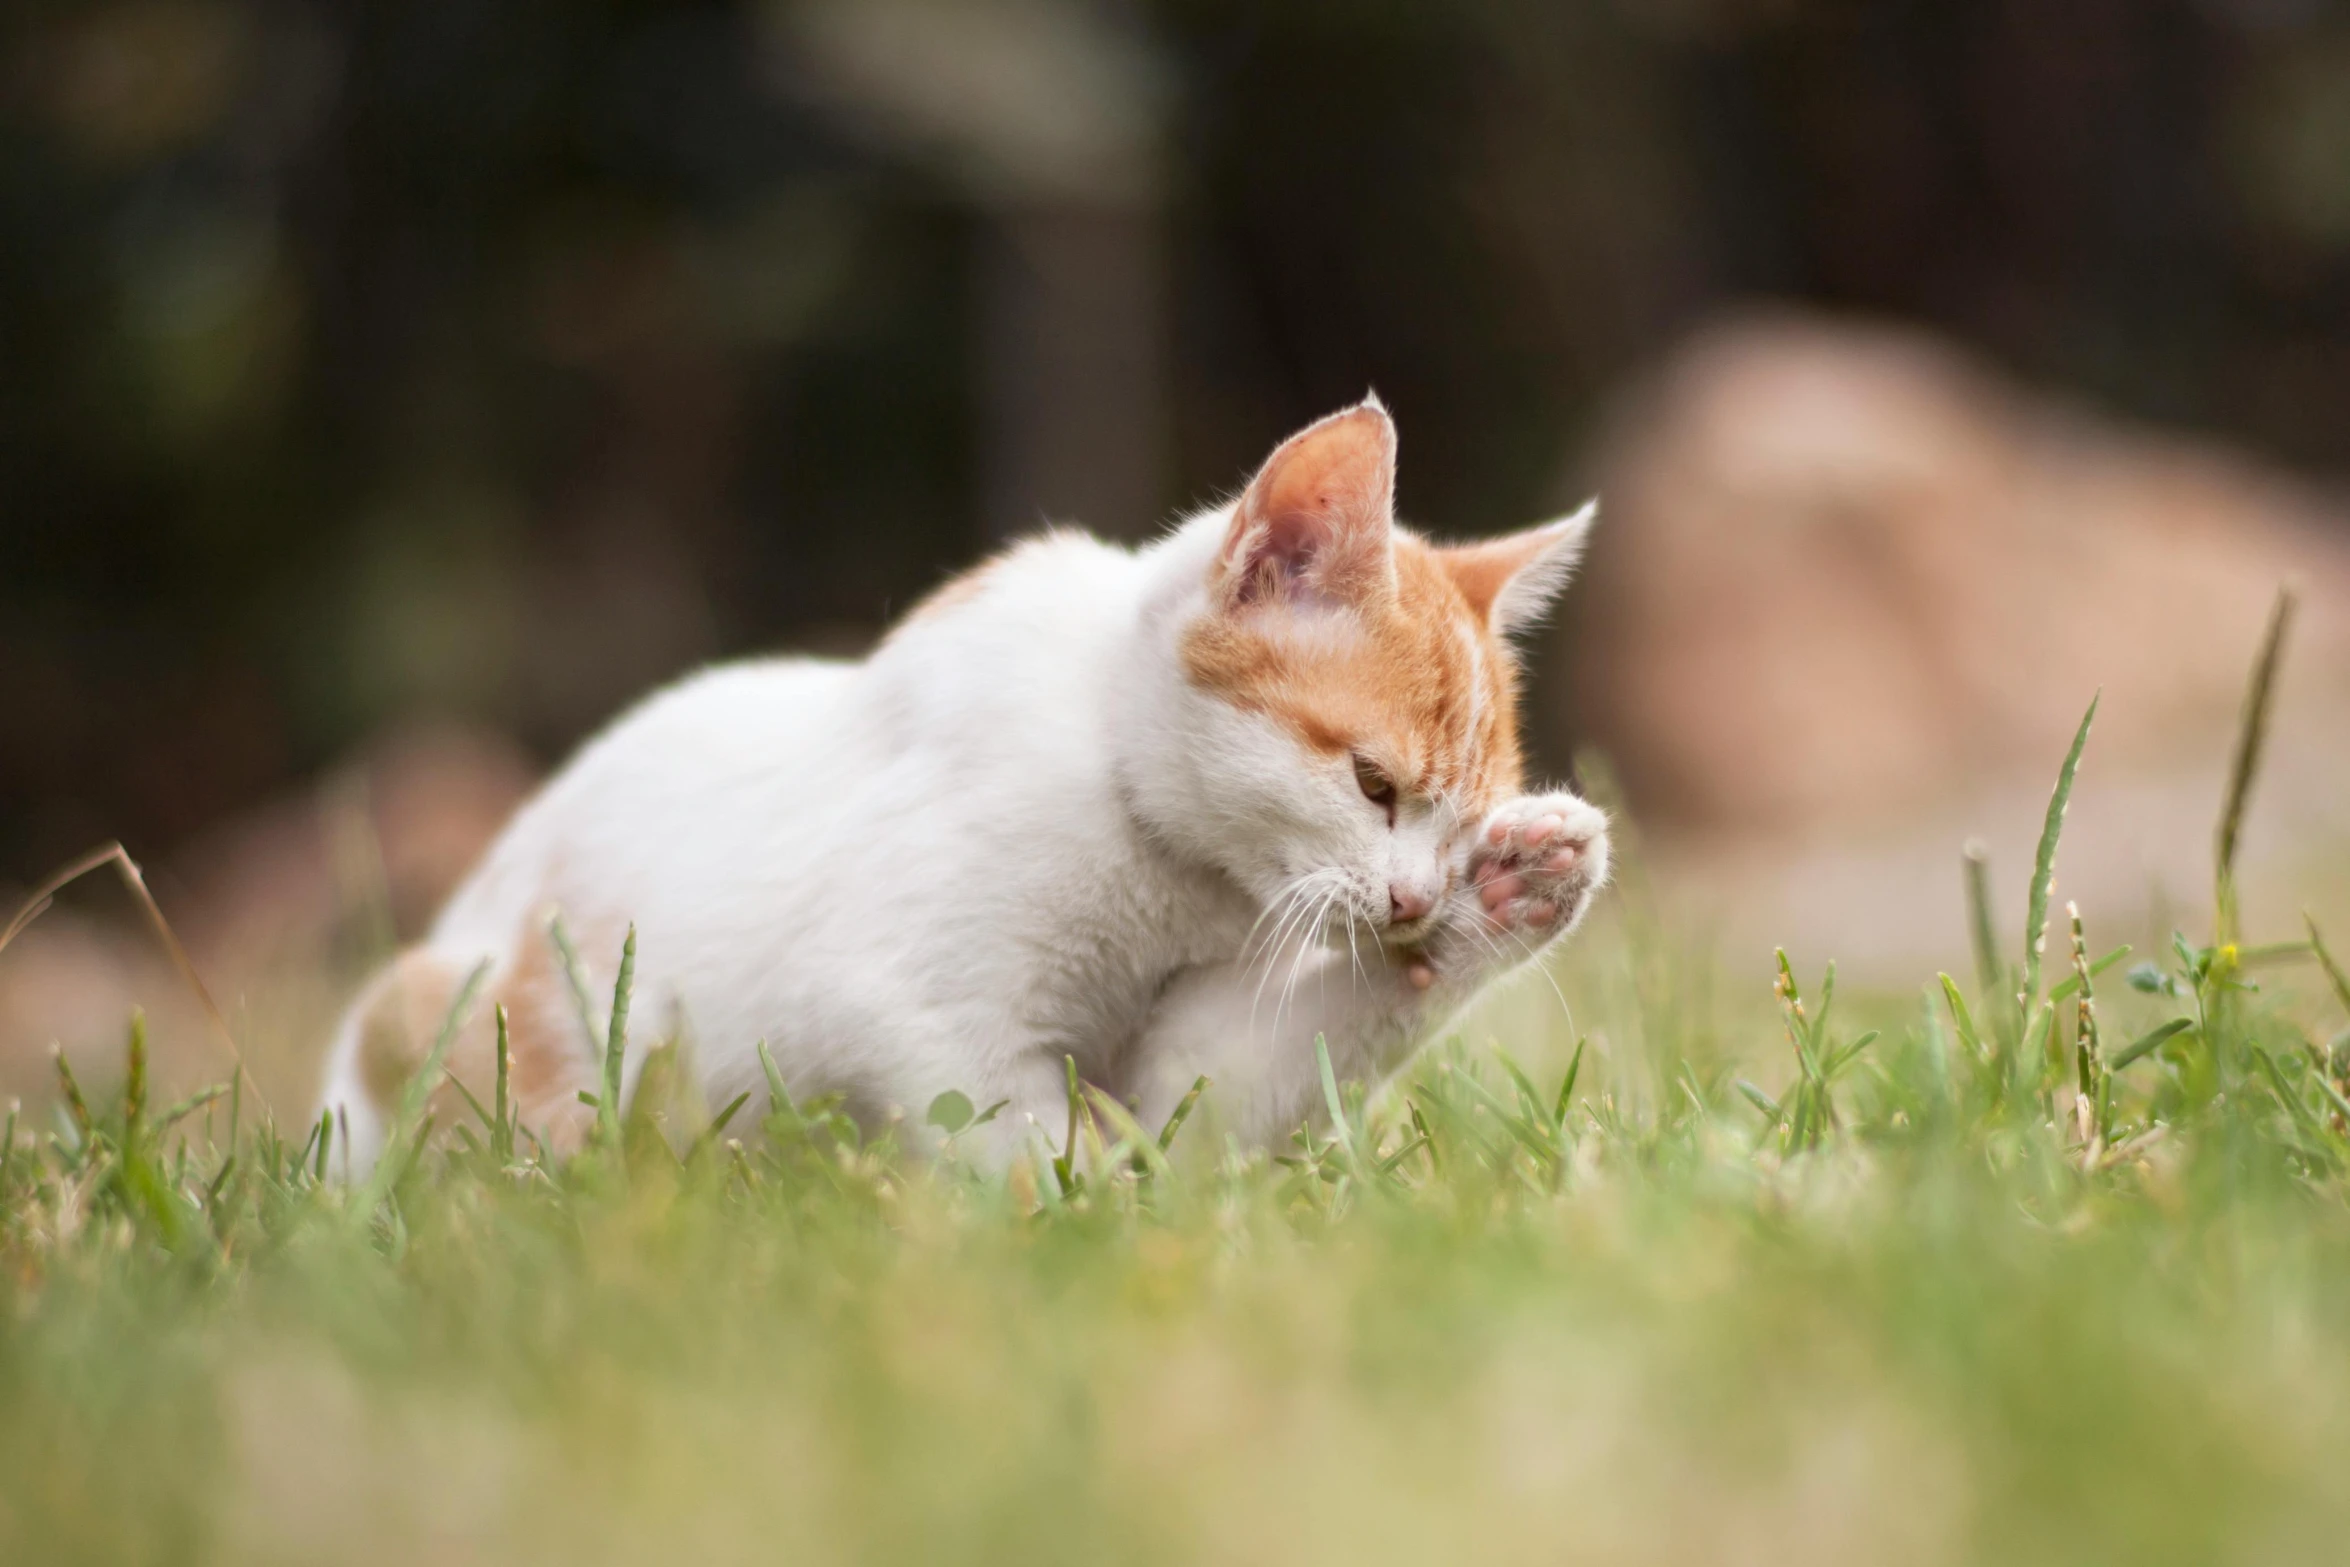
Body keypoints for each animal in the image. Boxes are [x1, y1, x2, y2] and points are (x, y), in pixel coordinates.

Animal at [321, 399, 1607, 1169]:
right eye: (1372, 784)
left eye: (1456, 826)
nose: (1412, 900)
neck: (1161, 870)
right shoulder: (901, 1003)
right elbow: (1017, 1136)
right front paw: (1085, 1220)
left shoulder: (1185, 1064)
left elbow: (1217, 1102)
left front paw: (1511, 897)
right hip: (464, 1019)